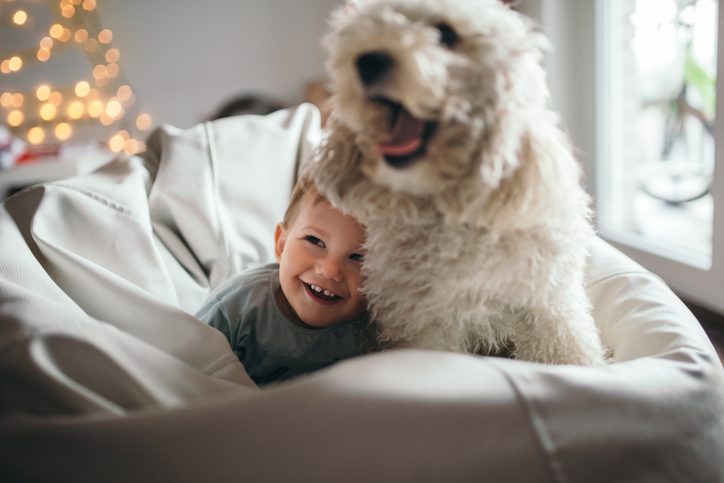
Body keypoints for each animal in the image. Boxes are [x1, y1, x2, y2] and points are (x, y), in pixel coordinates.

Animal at [312, 0, 604, 364]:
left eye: (445, 34)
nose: (366, 60)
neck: (457, 212)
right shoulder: (423, 320)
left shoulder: (548, 302)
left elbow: (567, 348)